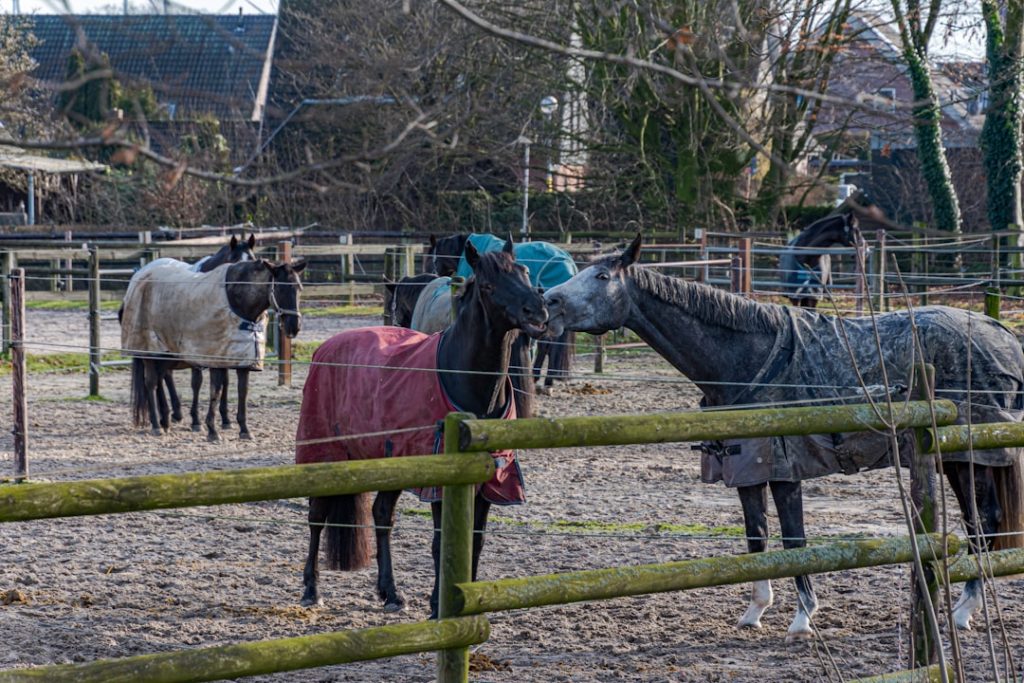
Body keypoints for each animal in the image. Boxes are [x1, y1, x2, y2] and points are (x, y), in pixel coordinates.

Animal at [122, 258, 305, 441]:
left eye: (299, 288)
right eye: (280, 288)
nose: (294, 327)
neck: (237, 302)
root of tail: (139, 276)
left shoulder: (242, 361)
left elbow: (242, 392)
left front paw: (244, 429)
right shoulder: (215, 358)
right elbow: (215, 391)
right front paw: (212, 430)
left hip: (164, 354)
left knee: (160, 380)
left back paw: (165, 421)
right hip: (149, 351)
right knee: (151, 383)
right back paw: (156, 425)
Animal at [294, 239, 548, 616]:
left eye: (525, 272)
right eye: (489, 285)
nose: (538, 311)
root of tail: (326, 348)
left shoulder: (491, 480)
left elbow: (475, 542)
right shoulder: (441, 481)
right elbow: (442, 542)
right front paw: (438, 605)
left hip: (389, 461)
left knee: (381, 514)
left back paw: (390, 594)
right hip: (325, 453)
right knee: (317, 515)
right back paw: (312, 589)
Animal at [544, 234, 1024, 637]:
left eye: (602, 277)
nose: (548, 302)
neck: (747, 358)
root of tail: (1002, 334)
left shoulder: (784, 469)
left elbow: (794, 540)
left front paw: (803, 618)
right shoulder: (745, 469)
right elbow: (756, 537)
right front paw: (755, 610)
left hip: (972, 458)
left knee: (984, 521)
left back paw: (962, 612)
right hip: (958, 460)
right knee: (977, 524)